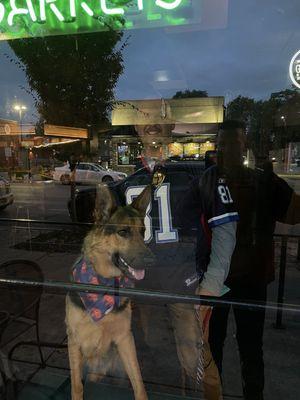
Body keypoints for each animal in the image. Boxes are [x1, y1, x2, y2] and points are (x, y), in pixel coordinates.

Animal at [66, 186, 154, 398]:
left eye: (143, 231)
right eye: (123, 232)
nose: (152, 261)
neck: (103, 285)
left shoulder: (125, 339)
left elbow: (138, 382)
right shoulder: (74, 342)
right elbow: (76, 384)